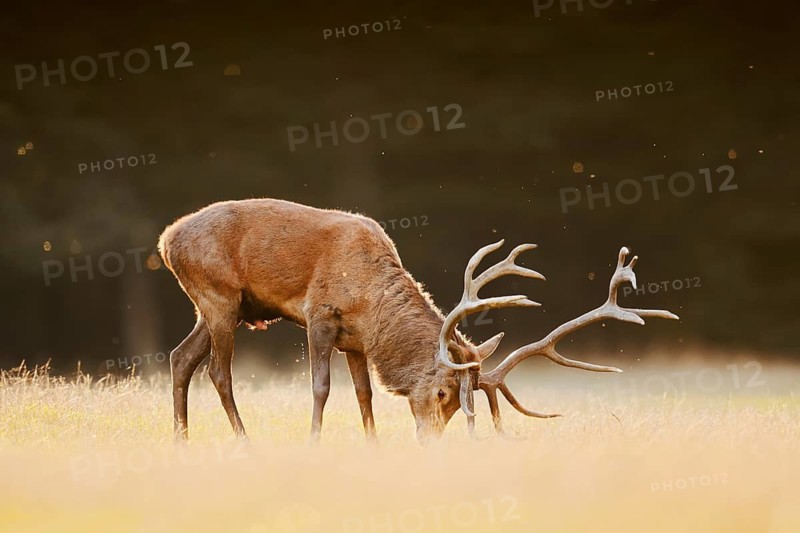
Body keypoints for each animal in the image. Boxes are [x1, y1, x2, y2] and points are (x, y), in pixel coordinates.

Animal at [158, 198, 678, 444]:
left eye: (456, 406)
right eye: (446, 394)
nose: (430, 441)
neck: (369, 302)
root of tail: (166, 239)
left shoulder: (355, 340)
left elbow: (364, 394)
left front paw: (373, 446)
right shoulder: (320, 315)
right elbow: (321, 387)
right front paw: (314, 442)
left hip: (224, 307)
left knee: (181, 358)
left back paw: (182, 442)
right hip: (219, 295)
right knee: (217, 371)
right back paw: (244, 442)